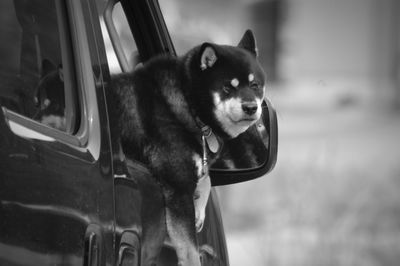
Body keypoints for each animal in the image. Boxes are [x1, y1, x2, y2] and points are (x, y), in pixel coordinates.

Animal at [108, 30, 266, 264]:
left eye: (254, 85)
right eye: (228, 87)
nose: (251, 107)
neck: (190, 103)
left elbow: (206, 177)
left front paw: (199, 209)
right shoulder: (177, 186)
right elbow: (191, 251)